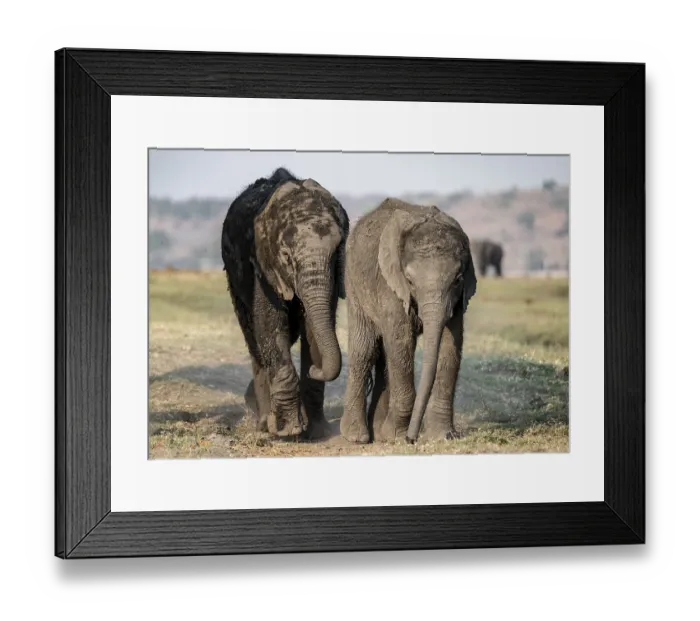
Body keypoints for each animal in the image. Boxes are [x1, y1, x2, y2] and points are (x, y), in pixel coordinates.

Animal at [221, 167, 349, 439]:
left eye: (337, 251)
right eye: (287, 258)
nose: (316, 370)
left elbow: (313, 330)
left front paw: (318, 432)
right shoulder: (262, 264)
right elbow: (270, 325)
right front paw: (288, 431)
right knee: (254, 338)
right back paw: (263, 423)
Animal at [340, 199, 477, 444]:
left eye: (458, 280)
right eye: (410, 281)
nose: (412, 439)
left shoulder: (458, 300)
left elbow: (451, 343)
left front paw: (443, 436)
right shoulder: (390, 285)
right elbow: (401, 339)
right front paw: (396, 436)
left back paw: (378, 432)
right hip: (353, 283)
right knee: (364, 348)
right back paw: (357, 437)